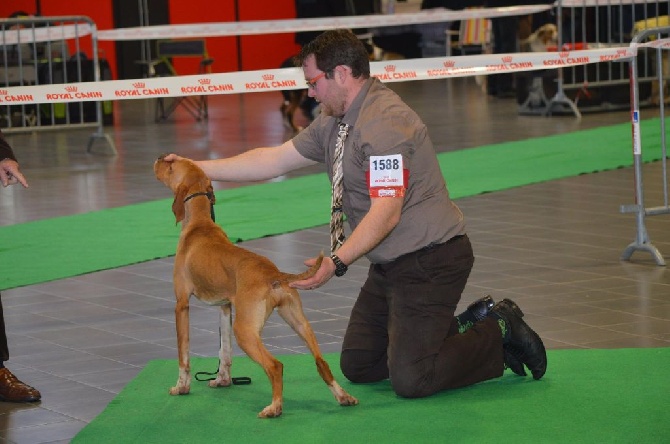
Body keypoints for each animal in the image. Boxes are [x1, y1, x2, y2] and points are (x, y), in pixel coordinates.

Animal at [154, 155, 360, 416]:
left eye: (170, 165)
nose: (159, 158)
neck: (199, 225)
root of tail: (275, 274)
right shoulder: (225, 307)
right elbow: (224, 351)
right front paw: (222, 380)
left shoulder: (181, 304)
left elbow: (183, 355)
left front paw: (181, 387)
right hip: (298, 321)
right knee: (321, 362)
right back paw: (343, 396)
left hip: (246, 331)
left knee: (275, 366)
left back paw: (274, 407)